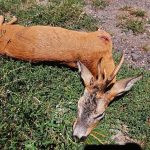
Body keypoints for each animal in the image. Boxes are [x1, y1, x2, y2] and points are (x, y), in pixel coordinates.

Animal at [0, 15, 142, 141]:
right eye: (78, 105)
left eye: (100, 115)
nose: (78, 136)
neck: (103, 58)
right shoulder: (102, 36)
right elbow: (102, 31)